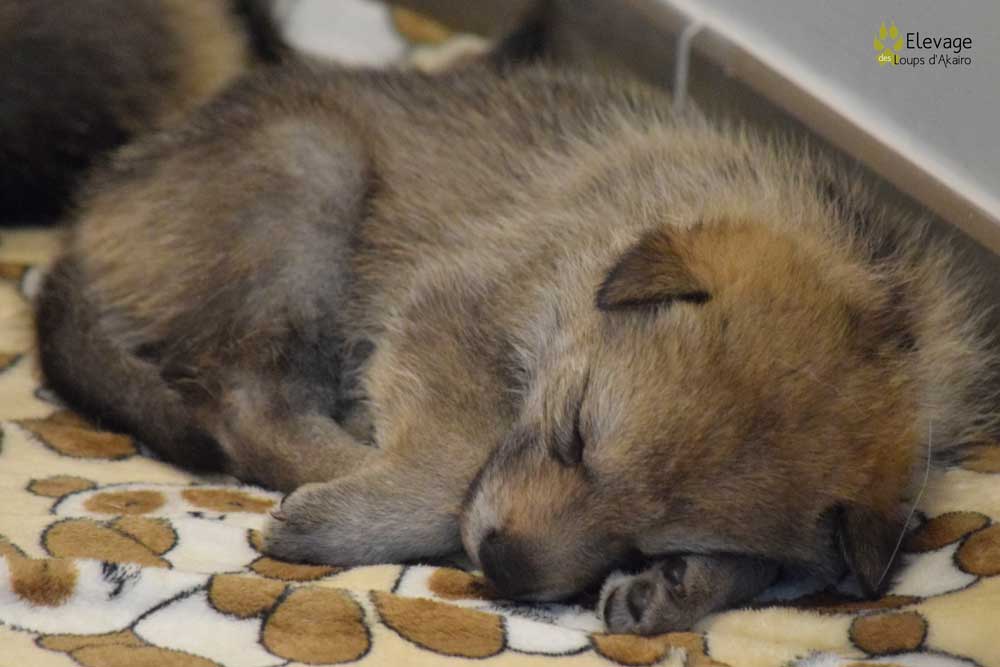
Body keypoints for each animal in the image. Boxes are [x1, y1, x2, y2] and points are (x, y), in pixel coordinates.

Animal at [34, 59, 1000, 634]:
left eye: (651, 534)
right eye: (572, 433)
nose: (501, 566)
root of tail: (85, 223)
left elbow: (761, 565)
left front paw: (678, 587)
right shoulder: (448, 311)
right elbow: (460, 457)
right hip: (310, 172)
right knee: (245, 400)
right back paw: (336, 466)